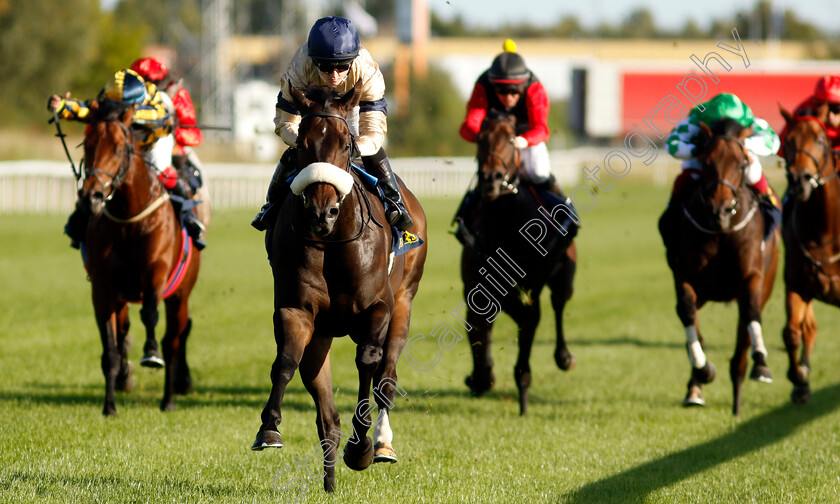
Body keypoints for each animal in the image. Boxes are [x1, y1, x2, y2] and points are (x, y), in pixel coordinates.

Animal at [79, 100, 203, 416]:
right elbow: (110, 348)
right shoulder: (103, 288)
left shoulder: (156, 272)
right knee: (125, 331)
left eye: (119, 148)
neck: (128, 219)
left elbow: (150, 314)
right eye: (87, 144)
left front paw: (151, 354)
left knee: (174, 339)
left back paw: (169, 398)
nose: (92, 196)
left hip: (180, 296)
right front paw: (109, 406)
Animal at [251, 84, 430, 494]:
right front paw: (269, 428)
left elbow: (368, 362)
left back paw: (381, 445)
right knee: (326, 416)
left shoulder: (379, 307)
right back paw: (330, 479)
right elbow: (285, 362)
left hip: (406, 301)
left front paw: (361, 445)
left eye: (347, 143)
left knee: (386, 378)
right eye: (302, 143)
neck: (332, 242)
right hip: (321, 337)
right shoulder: (297, 311)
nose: (322, 212)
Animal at [456, 112, 576, 416]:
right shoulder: (475, 285)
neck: (505, 224)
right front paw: (480, 377)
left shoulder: (530, 289)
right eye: (481, 138)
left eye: (511, 139)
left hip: (565, 277)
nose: (491, 178)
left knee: (559, 305)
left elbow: (528, 319)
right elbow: (479, 325)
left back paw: (564, 356)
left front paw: (521, 393)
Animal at [668, 120, 780, 416]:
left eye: (741, 164)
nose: (721, 209)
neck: (721, 232)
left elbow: (751, 312)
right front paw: (702, 369)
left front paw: (761, 362)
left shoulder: (751, 278)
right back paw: (695, 388)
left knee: (742, 344)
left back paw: (739, 399)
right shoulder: (685, 275)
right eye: (706, 162)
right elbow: (687, 312)